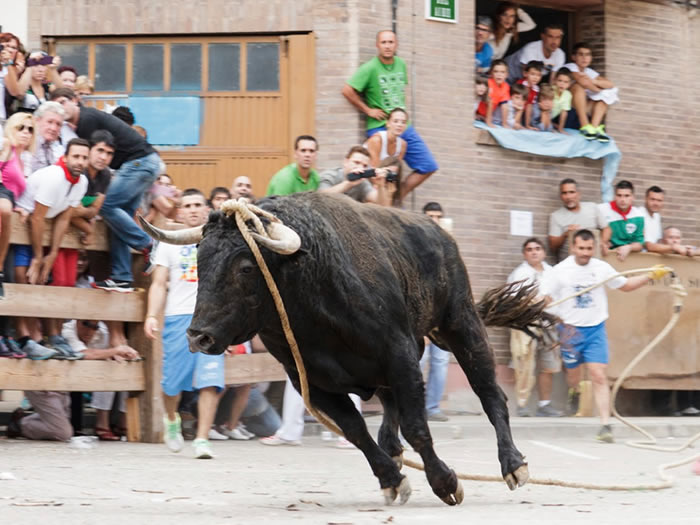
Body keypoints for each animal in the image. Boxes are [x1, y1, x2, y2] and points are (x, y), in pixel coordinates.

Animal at [145, 192, 556, 504]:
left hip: (461, 323)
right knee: (390, 408)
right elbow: (356, 431)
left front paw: (446, 483)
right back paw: (393, 449)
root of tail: (440, 233)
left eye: (245, 266)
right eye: (199, 260)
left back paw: (513, 465)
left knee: (490, 394)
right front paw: (392, 480)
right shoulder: (313, 382)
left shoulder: (399, 355)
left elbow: (417, 426)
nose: (198, 336)